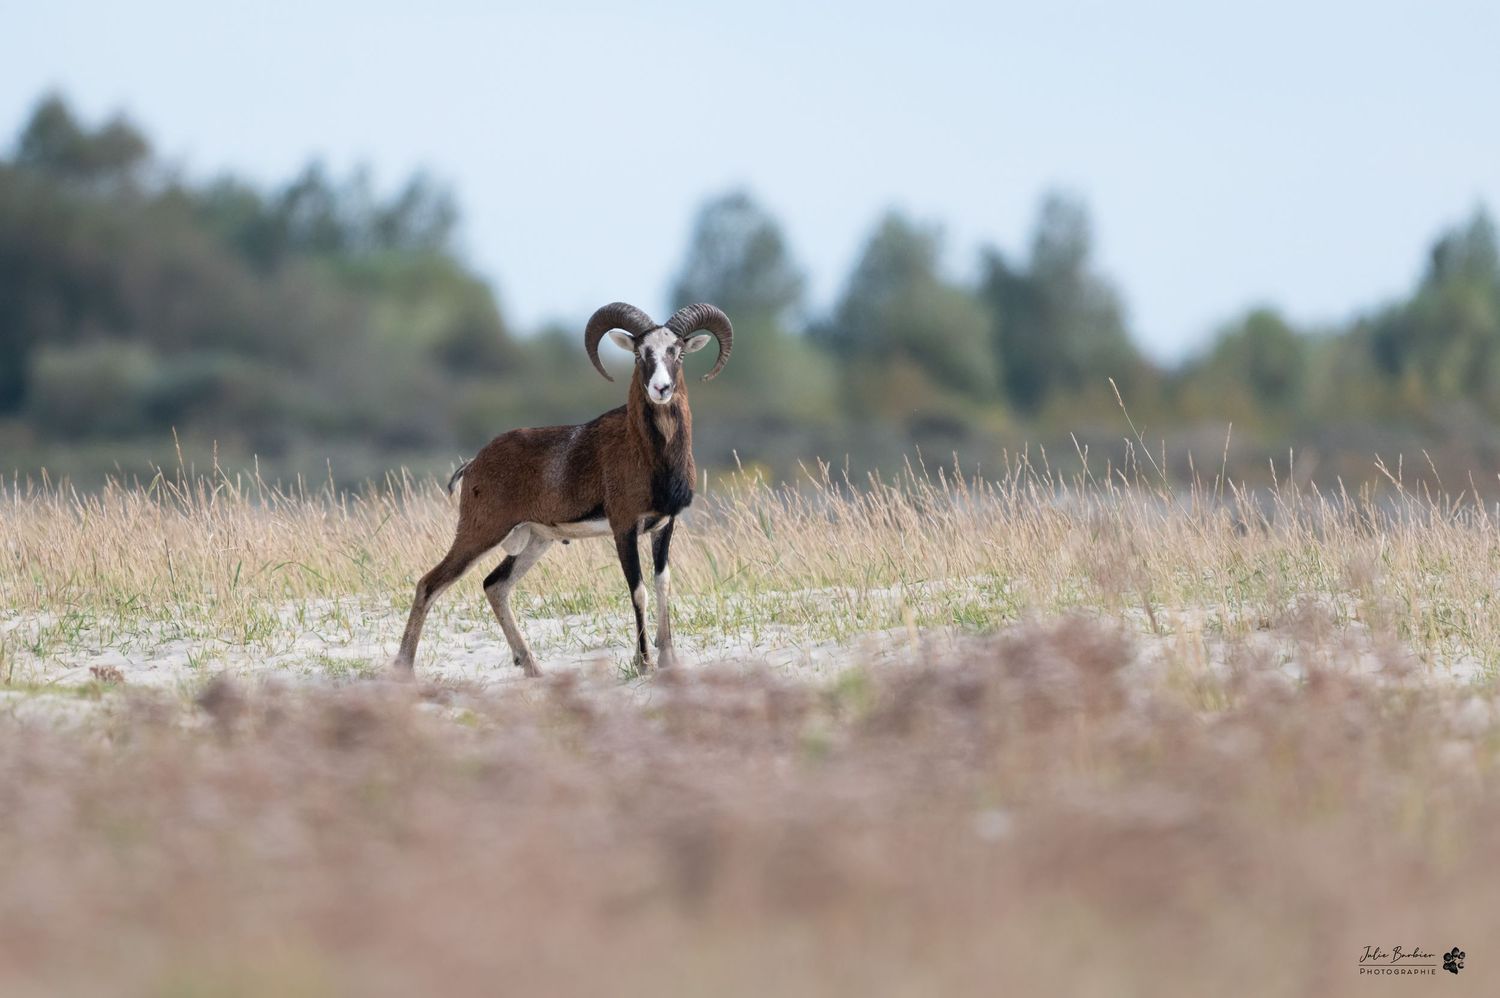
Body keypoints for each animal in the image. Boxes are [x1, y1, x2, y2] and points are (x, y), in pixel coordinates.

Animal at [391, 301, 733, 678]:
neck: (651, 456)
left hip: (535, 542)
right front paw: (643, 663)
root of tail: (474, 463)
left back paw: (533, 669)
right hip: (480, 535)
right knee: (429, 584)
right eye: (640, 354)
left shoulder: (663, 526)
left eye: (678, 353)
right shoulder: (624, 528)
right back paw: (404, 669)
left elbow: (662, 585)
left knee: (495, 586)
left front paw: (668, 660)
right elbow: (639, 591)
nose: (661, 388)